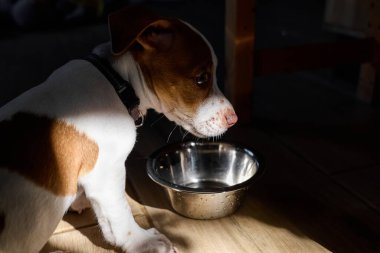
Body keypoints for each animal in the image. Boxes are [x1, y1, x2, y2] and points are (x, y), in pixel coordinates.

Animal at [0, 5, 238, 253]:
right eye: (201, 78)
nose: (234, 118)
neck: (117, 81)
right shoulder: (106, 173)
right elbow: (120, 216)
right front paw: (145, 242)